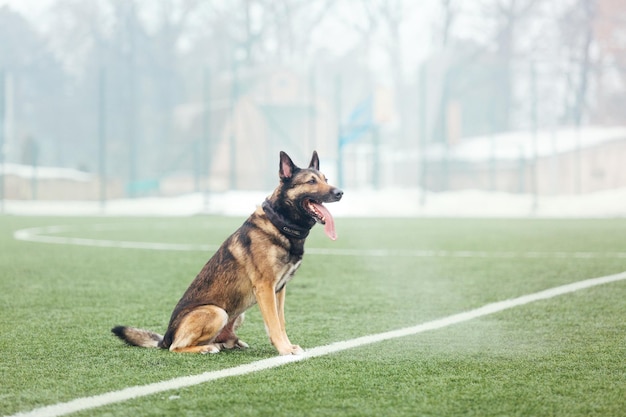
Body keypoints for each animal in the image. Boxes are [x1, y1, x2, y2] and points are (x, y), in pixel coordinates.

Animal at [112, 150, 342, 354]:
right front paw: (284, 350)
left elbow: (280, 321)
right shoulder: (265, 288)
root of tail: (166, 337)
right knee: (175, 347)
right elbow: (275, 324)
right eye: (311, 181)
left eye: (326, 179)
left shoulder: (279, 290)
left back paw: (228, 343)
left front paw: (286, 346)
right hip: (217, 312)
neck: (280, 223)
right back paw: (206, 348)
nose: (339, 193)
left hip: (237, 313)